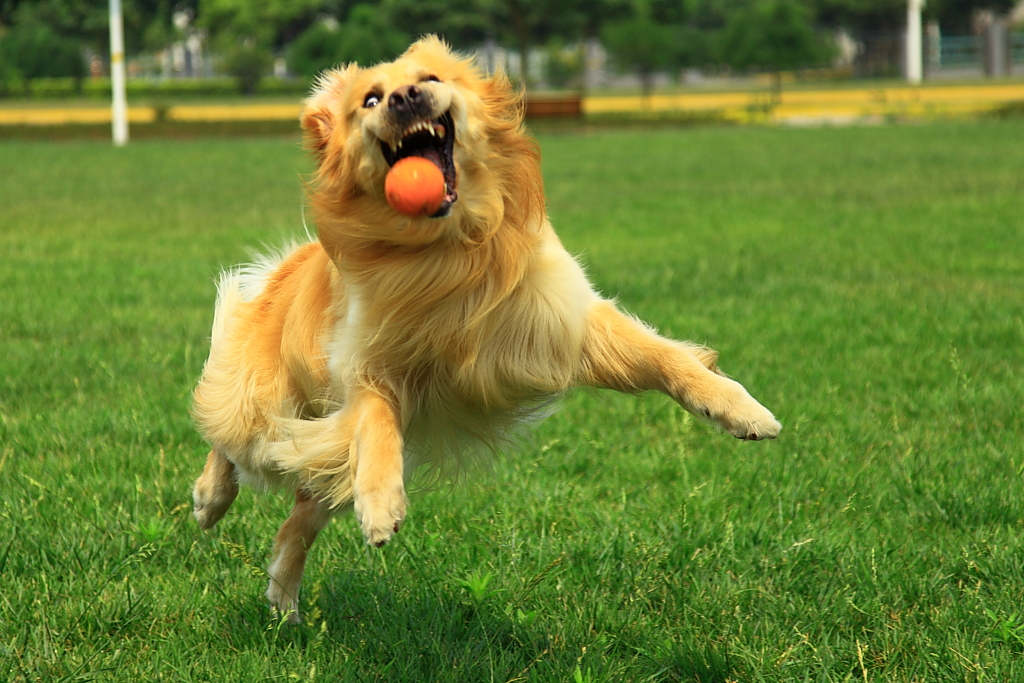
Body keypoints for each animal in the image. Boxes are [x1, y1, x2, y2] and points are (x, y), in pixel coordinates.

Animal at [192, 37, 778, 626]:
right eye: (370, 99)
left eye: (429, 78)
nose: (404, 97)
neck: (451, 251)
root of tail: (287, 269)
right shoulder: (367, 367)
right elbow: (377, 421)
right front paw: (380, 503)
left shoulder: (560, 325)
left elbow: (667, 359)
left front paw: (740, 409)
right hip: (269, 407)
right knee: (229, 436)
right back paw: (209, 499)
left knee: (297, 517)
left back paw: (283, 600)